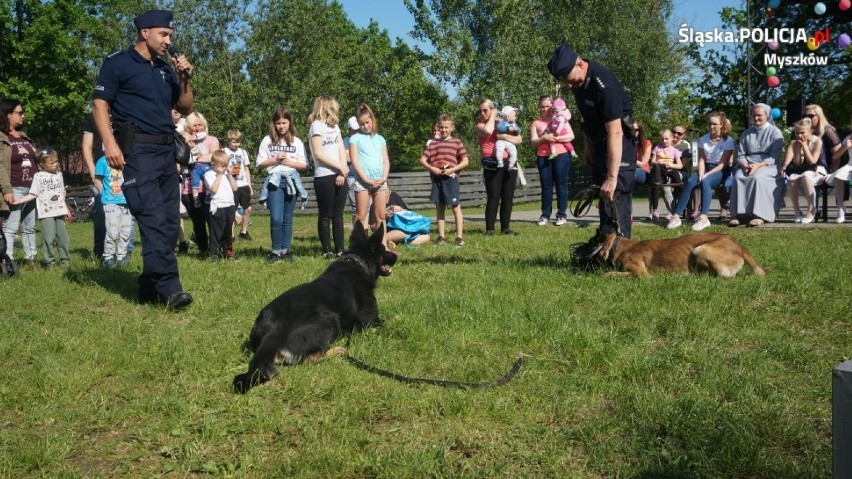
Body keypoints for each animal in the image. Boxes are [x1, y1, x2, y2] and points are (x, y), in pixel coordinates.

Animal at [233, 222, 400, 394]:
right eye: (384, 248)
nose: (396, 256)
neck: (357, 262)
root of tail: (273, 333)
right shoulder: (372, 322)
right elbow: (390, 320)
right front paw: (399, 318)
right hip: (330, 319)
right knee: (310, 358)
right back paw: (337, 350)